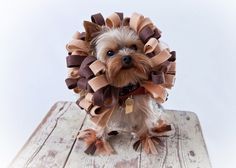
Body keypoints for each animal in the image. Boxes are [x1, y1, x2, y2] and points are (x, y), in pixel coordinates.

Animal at [64, 12, 175, 156]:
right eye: (110, 53)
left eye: (134, 47)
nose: (127, 57)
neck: (125, 88)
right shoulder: (102, 106)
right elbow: (101, 122)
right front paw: (97, 141)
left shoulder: (144, 106)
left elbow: (145, 121)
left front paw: (146, 140)